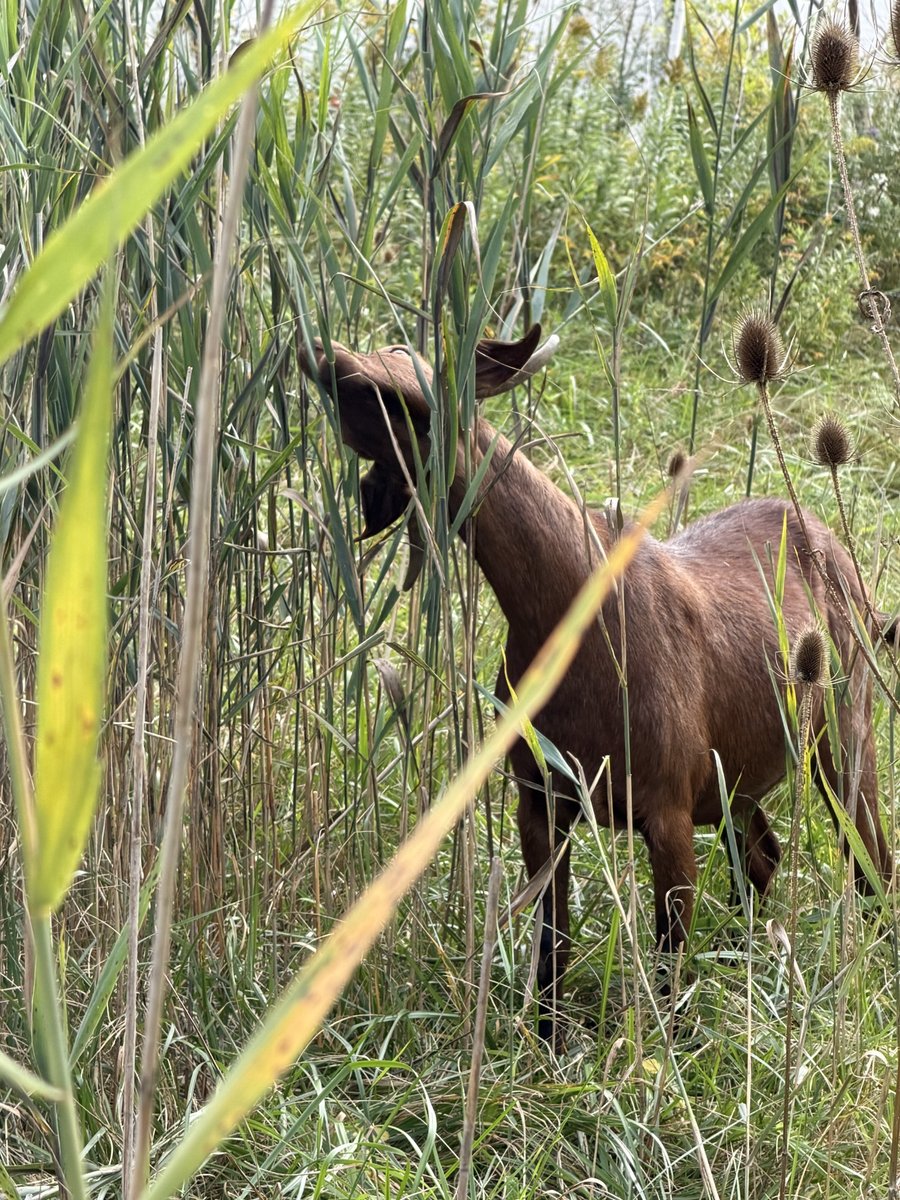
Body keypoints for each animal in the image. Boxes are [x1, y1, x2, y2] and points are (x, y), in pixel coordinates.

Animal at [301, 323, 894, 1041]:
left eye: (398, 394)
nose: (317, 356)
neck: (568, 617)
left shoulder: (666, 810)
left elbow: (668, 963)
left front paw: (660, 1051)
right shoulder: (541, 802)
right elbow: (550, 946)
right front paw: (550, 1044)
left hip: (843, 738)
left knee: (870, 863)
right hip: (737, 776)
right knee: (762, 857)